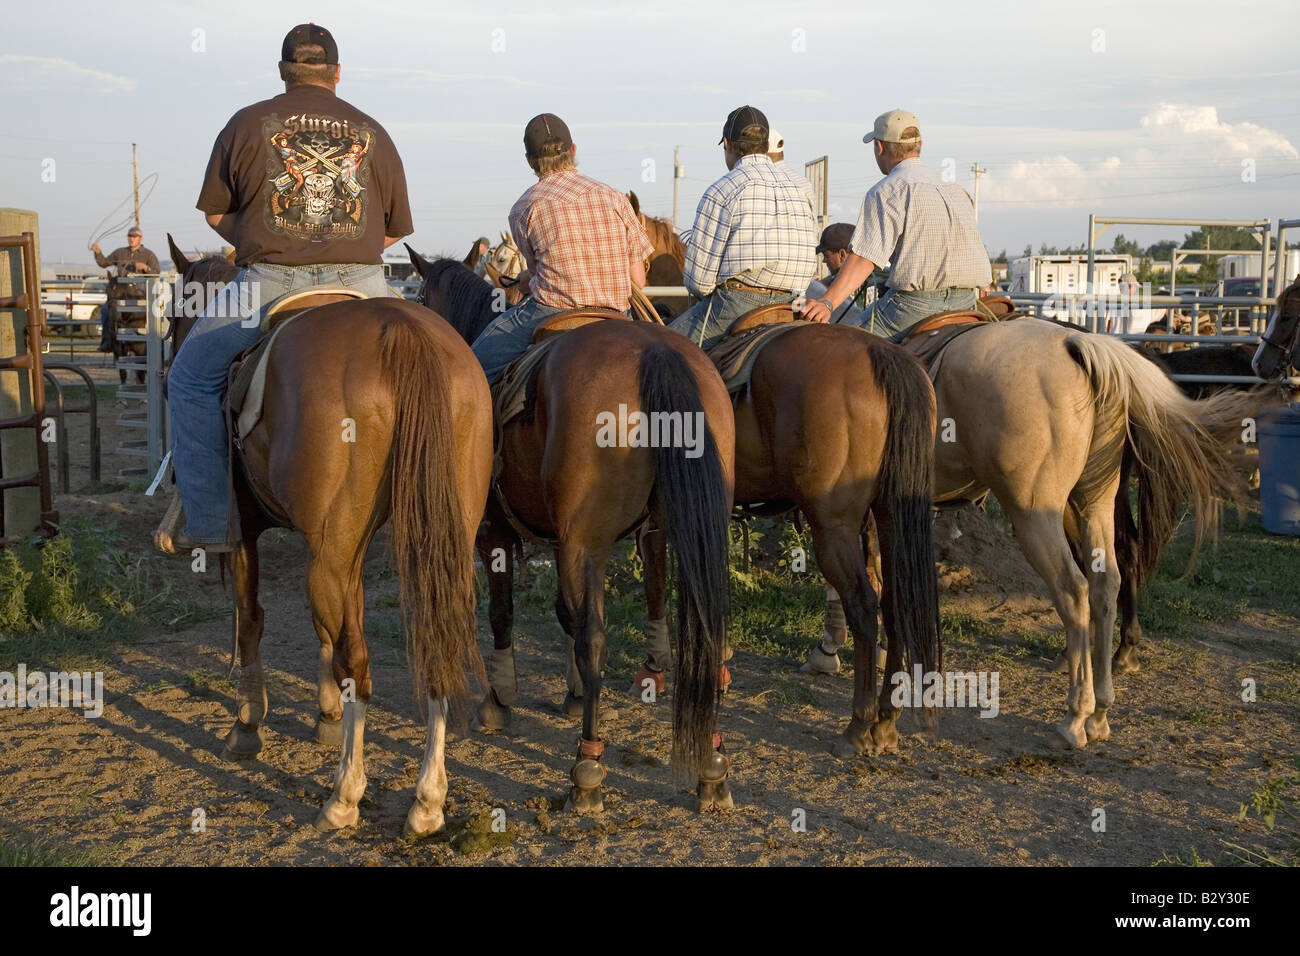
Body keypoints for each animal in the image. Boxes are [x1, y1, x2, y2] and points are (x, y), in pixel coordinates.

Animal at [162, 238, 488, 837]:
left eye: (175, 315)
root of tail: (400, 333)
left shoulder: (248, 532)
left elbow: (251, 617)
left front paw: (248, 725)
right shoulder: (343, 550)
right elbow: (325, 626)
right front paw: (327, 715)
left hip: (330, 554)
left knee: (356, 659)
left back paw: (345, 794)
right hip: (433, 545)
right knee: (434, 644)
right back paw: (428, 800)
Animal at [410, 248, 738, 816]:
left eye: (424, 297)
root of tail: (655, 354)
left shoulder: (497, 532)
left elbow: (505, 612)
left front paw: (499, 699)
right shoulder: (570, 541)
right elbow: (565, 613)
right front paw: (573, 692)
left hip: (589, 541)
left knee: (596, 639)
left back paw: (587, 769)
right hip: (692, 531)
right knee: (706, 627)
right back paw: (712, 768)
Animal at [634, 317, 941, 759]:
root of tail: (880, 353)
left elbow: (656, 581)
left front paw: (656, 664)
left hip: (832, 526)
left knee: (864, 606)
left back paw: (858, 725)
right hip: (887, 515)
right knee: (895, 601)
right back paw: (885, 720)